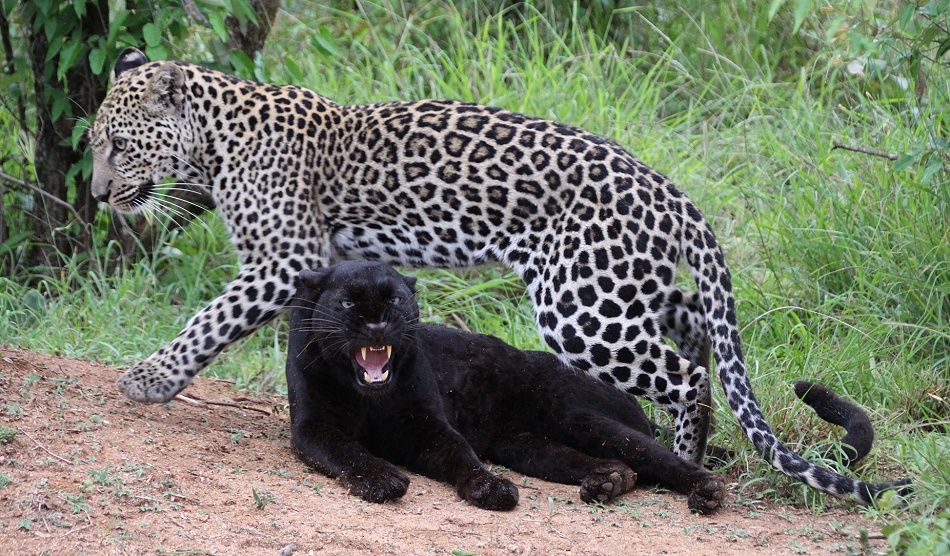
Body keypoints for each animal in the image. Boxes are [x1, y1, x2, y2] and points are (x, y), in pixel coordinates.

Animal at [90, 47, 909, 505]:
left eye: (119, 147)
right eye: (97, 144)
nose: (97, 194)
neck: (213, 142)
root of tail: (670, 192)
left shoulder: (286, 257)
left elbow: (210, 317)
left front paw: (150, 378)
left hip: (582, 308)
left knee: (686, 376)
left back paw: (682, 464)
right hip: (622, 288)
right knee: (697, 327)